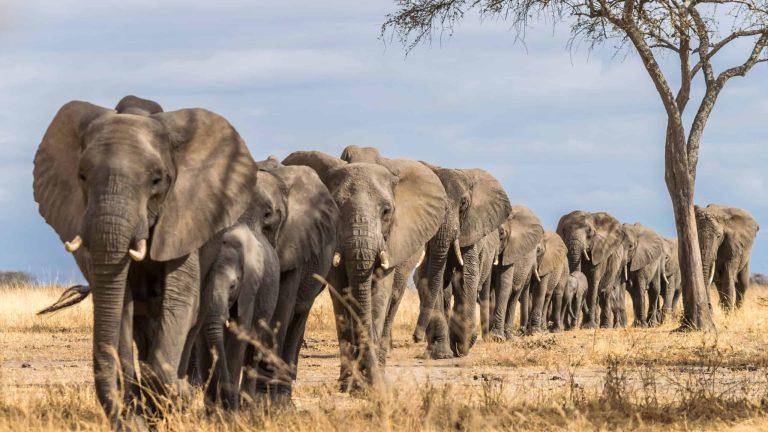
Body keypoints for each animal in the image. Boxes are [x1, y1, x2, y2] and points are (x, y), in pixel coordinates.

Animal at [33, 96, 256, 425]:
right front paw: (136, 416)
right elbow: (120, 305)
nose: (120, 417)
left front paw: (176, 396)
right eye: (82, 176)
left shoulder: (184, 218)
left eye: (156, 180)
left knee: (192, 319)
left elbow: (180, 300)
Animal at [194, 223, 279, 410]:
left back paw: (247, 405)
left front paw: (229, 411)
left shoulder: (249, 288)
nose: (227, 405)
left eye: (233, 286)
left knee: (253, 348)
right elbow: (203, 341)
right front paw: (211, 410)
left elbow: (238, 334)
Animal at [283, 150, 446, 391]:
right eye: (335, 208)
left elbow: (379, 294)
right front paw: (350, 384)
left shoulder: (393, 241)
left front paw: (369, 383)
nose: (371, 384)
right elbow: (341, 295)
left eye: (386, 211)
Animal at [412, 165, 511, 358]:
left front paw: (462, 345)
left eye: (464, 203)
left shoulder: (471, 232)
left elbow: (466, 278)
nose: (415, 337)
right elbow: (430, 279)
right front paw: (441, 353)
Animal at [487, 205, 543, 340]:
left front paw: (497, 337)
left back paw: (509, 337)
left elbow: (504, 284)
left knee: (514, 293)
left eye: (501, 234)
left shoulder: (511, 250)